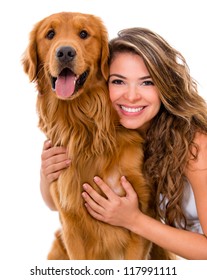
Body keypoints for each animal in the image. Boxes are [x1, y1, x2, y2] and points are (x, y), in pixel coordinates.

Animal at [22, 11, 173, 260]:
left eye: (84, 34)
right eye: (50, 34)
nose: (65, 52)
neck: (85, 128)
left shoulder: (140, 215)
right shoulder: (71, 223)